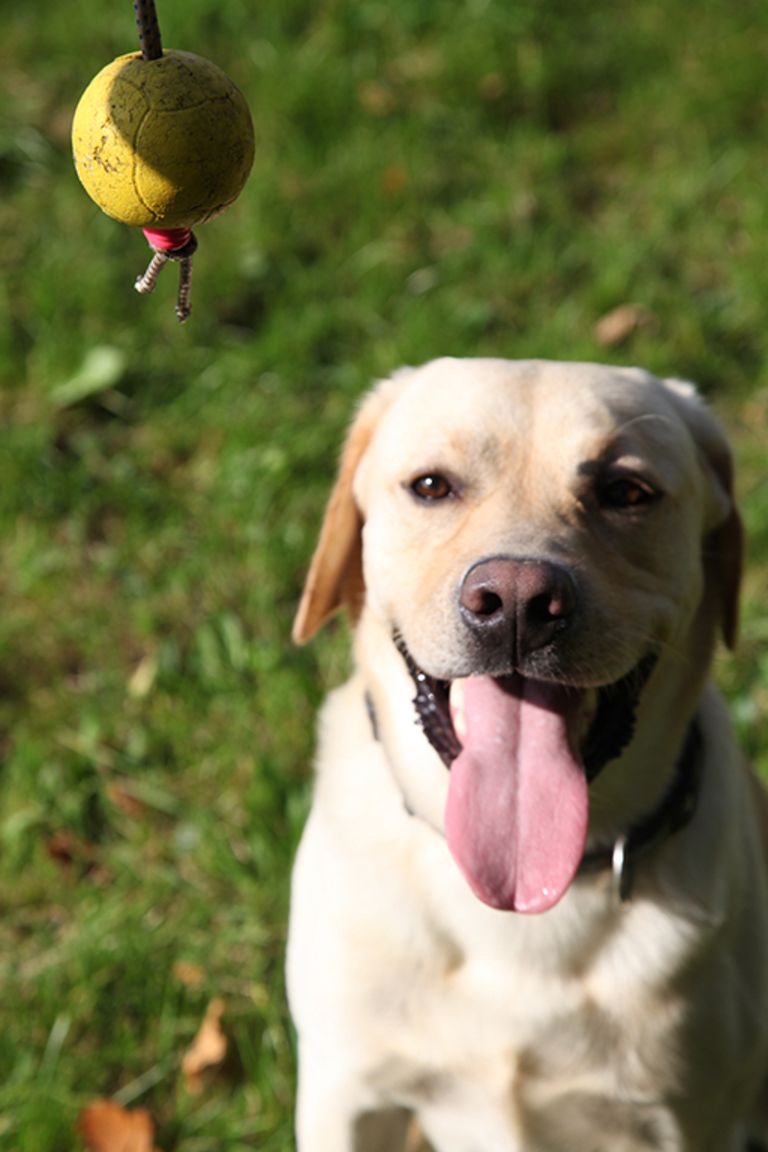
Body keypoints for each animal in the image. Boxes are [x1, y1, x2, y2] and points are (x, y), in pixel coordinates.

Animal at [286, 359, 768, 1152]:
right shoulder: (346, 1092)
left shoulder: (689, 1120)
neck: (523, 906)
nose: (517, 602)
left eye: (626, 492)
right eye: (431, 486)